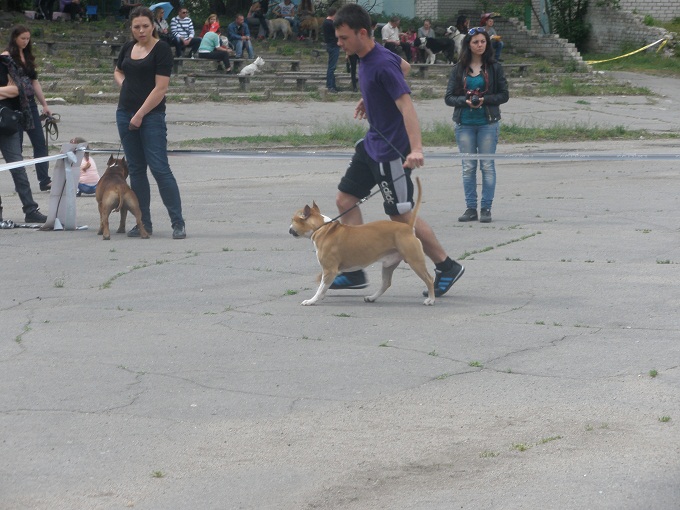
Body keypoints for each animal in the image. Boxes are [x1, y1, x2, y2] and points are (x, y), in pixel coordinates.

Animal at [289, 177, 435, 306]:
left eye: (293, 220)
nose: (289, 229)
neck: (322, 227)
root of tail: (408, 227)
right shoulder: (329, 271)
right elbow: (323, 286)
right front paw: (320, 296)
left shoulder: (329, 270)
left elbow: (321, 287)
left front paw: (312, 300)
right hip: (389, 264)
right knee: (386, 283)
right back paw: (372, 297)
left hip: (415, 261)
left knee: (429, 279)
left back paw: (431, 299)